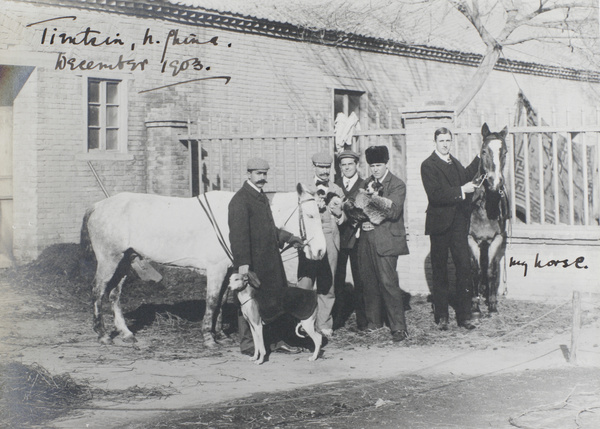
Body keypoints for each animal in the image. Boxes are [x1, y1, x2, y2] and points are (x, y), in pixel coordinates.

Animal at [81, 182, 326, 342]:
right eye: (311, 216)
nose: (321, 251)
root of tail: (98, 206)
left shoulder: (228, 270)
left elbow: (221, 300)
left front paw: (220, 334)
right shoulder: (216, 269)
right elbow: (212, 299)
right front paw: (208, 336)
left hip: (126, 259)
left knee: (114, 294)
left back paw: (126, 333)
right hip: (109, 259)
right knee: (97, 291)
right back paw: (102, 334)